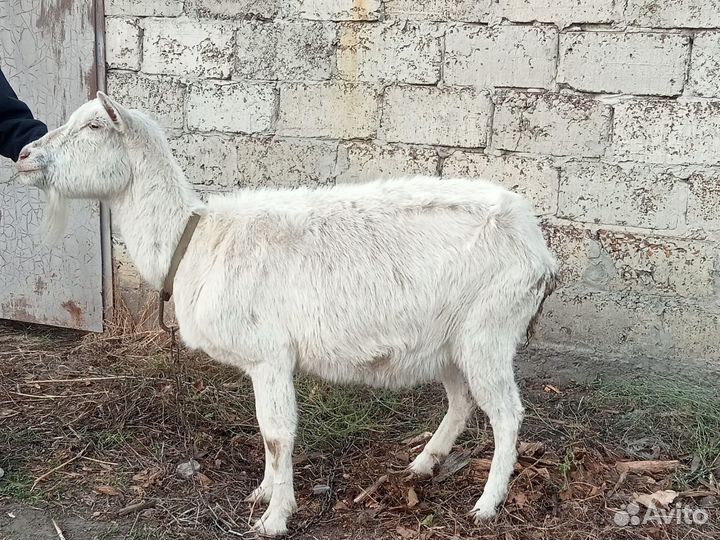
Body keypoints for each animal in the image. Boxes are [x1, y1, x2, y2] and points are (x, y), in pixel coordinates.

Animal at [16, 93, 558, 536]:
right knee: (462, 400)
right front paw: (263, 492)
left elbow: (276, 434)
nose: (23, 156)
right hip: (450, 340)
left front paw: (274, 518)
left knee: (506, 413)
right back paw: (424, 464)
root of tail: (541, 252)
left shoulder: (269, 354)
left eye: (93, 126)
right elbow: (267, 434)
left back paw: (486, 505)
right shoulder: (265, 362)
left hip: (490, 329)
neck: (194, 240)